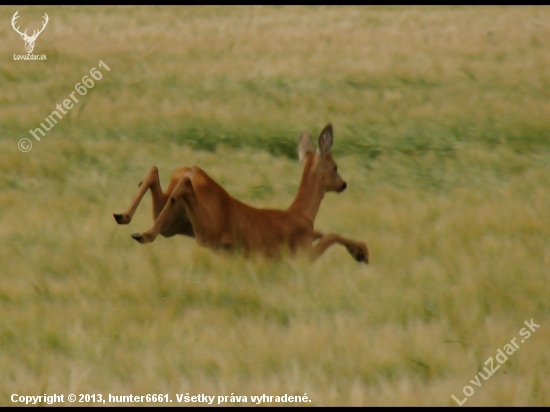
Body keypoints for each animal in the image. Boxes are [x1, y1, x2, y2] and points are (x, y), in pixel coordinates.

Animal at [113, 124, 368, 262]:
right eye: (335, 166)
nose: (344, 184)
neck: (301, 214)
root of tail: (191, 171)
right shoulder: (301, 256)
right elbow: (330, 236)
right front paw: (361, 252)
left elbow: (326, 232)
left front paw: (361, 251)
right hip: (209, 229)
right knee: (181, 182)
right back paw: (144, 233)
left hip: (177, 223)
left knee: (155, 172)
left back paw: (125, 219)